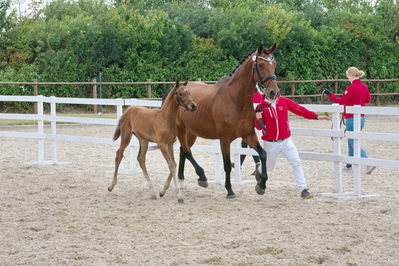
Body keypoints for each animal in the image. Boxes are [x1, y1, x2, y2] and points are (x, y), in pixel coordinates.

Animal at [173, 44, 280, 197]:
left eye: (274, 64)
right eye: (260, 64)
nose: (273, 92)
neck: (235, 99)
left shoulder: (248, 134)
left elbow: (263, 154)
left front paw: (261, 184)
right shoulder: (225, 139)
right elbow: (227, 165)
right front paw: (229, 190)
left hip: (191, 132)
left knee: (184, 150)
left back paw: (183, 181)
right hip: (182, 130)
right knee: (187, 151)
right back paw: (201, 177)